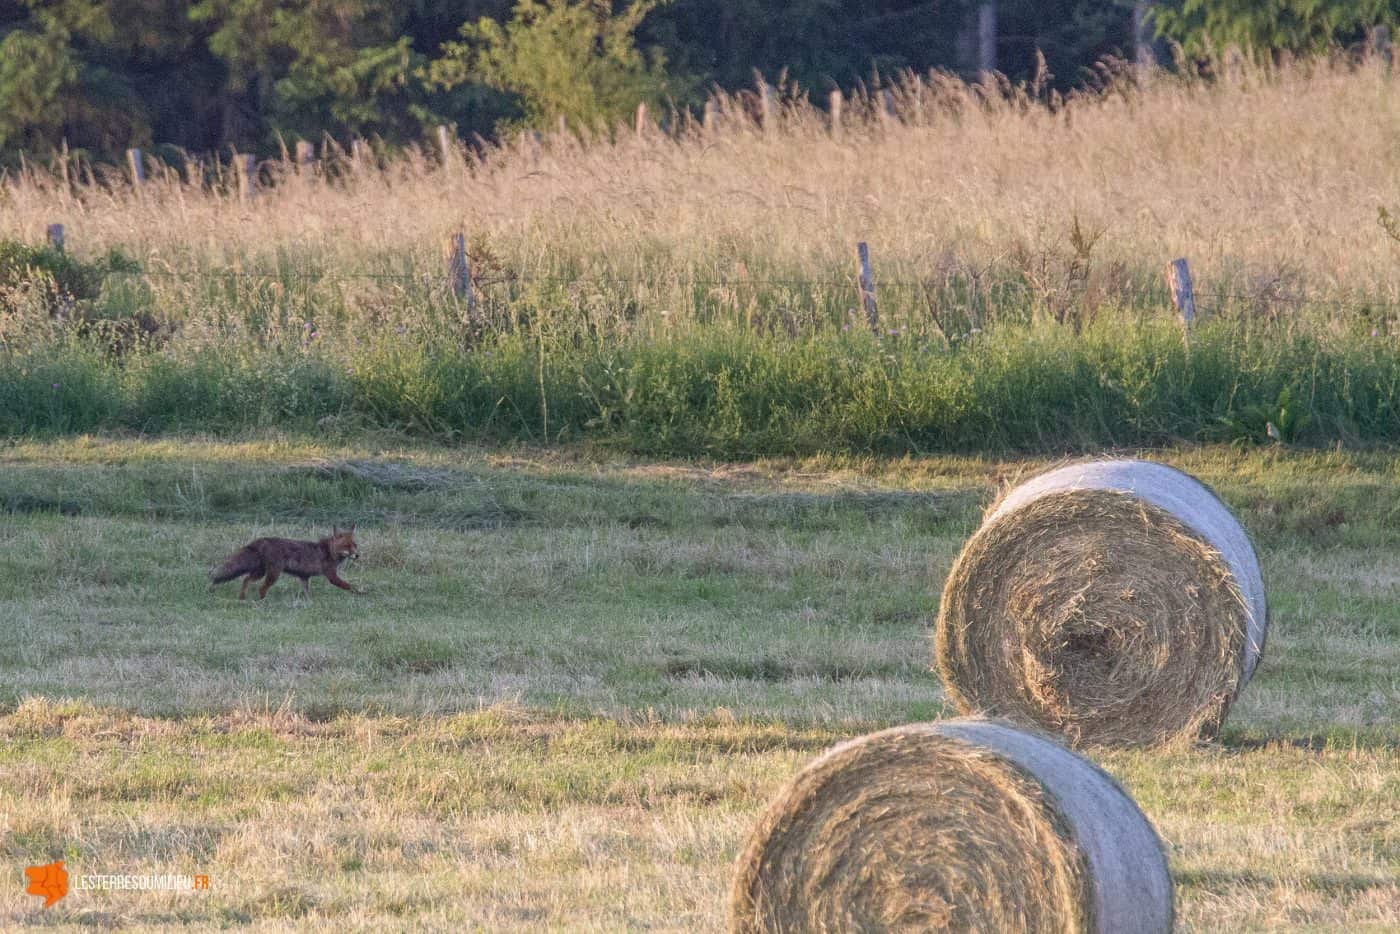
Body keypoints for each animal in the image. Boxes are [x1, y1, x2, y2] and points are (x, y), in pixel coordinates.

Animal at [210, 526, 361, 599]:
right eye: (347, 546)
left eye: (355, 545)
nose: (357, 555)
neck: (329, 551)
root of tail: (262, 540)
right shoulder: (331, 576)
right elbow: (349, 586)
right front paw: (361, 594)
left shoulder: (304, 577)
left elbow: (307, 592)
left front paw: (310, 602)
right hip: (273, 574)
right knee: (261, 588)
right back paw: (262, 601)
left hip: (260, 572)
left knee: (246, 579)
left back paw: (242, 598)